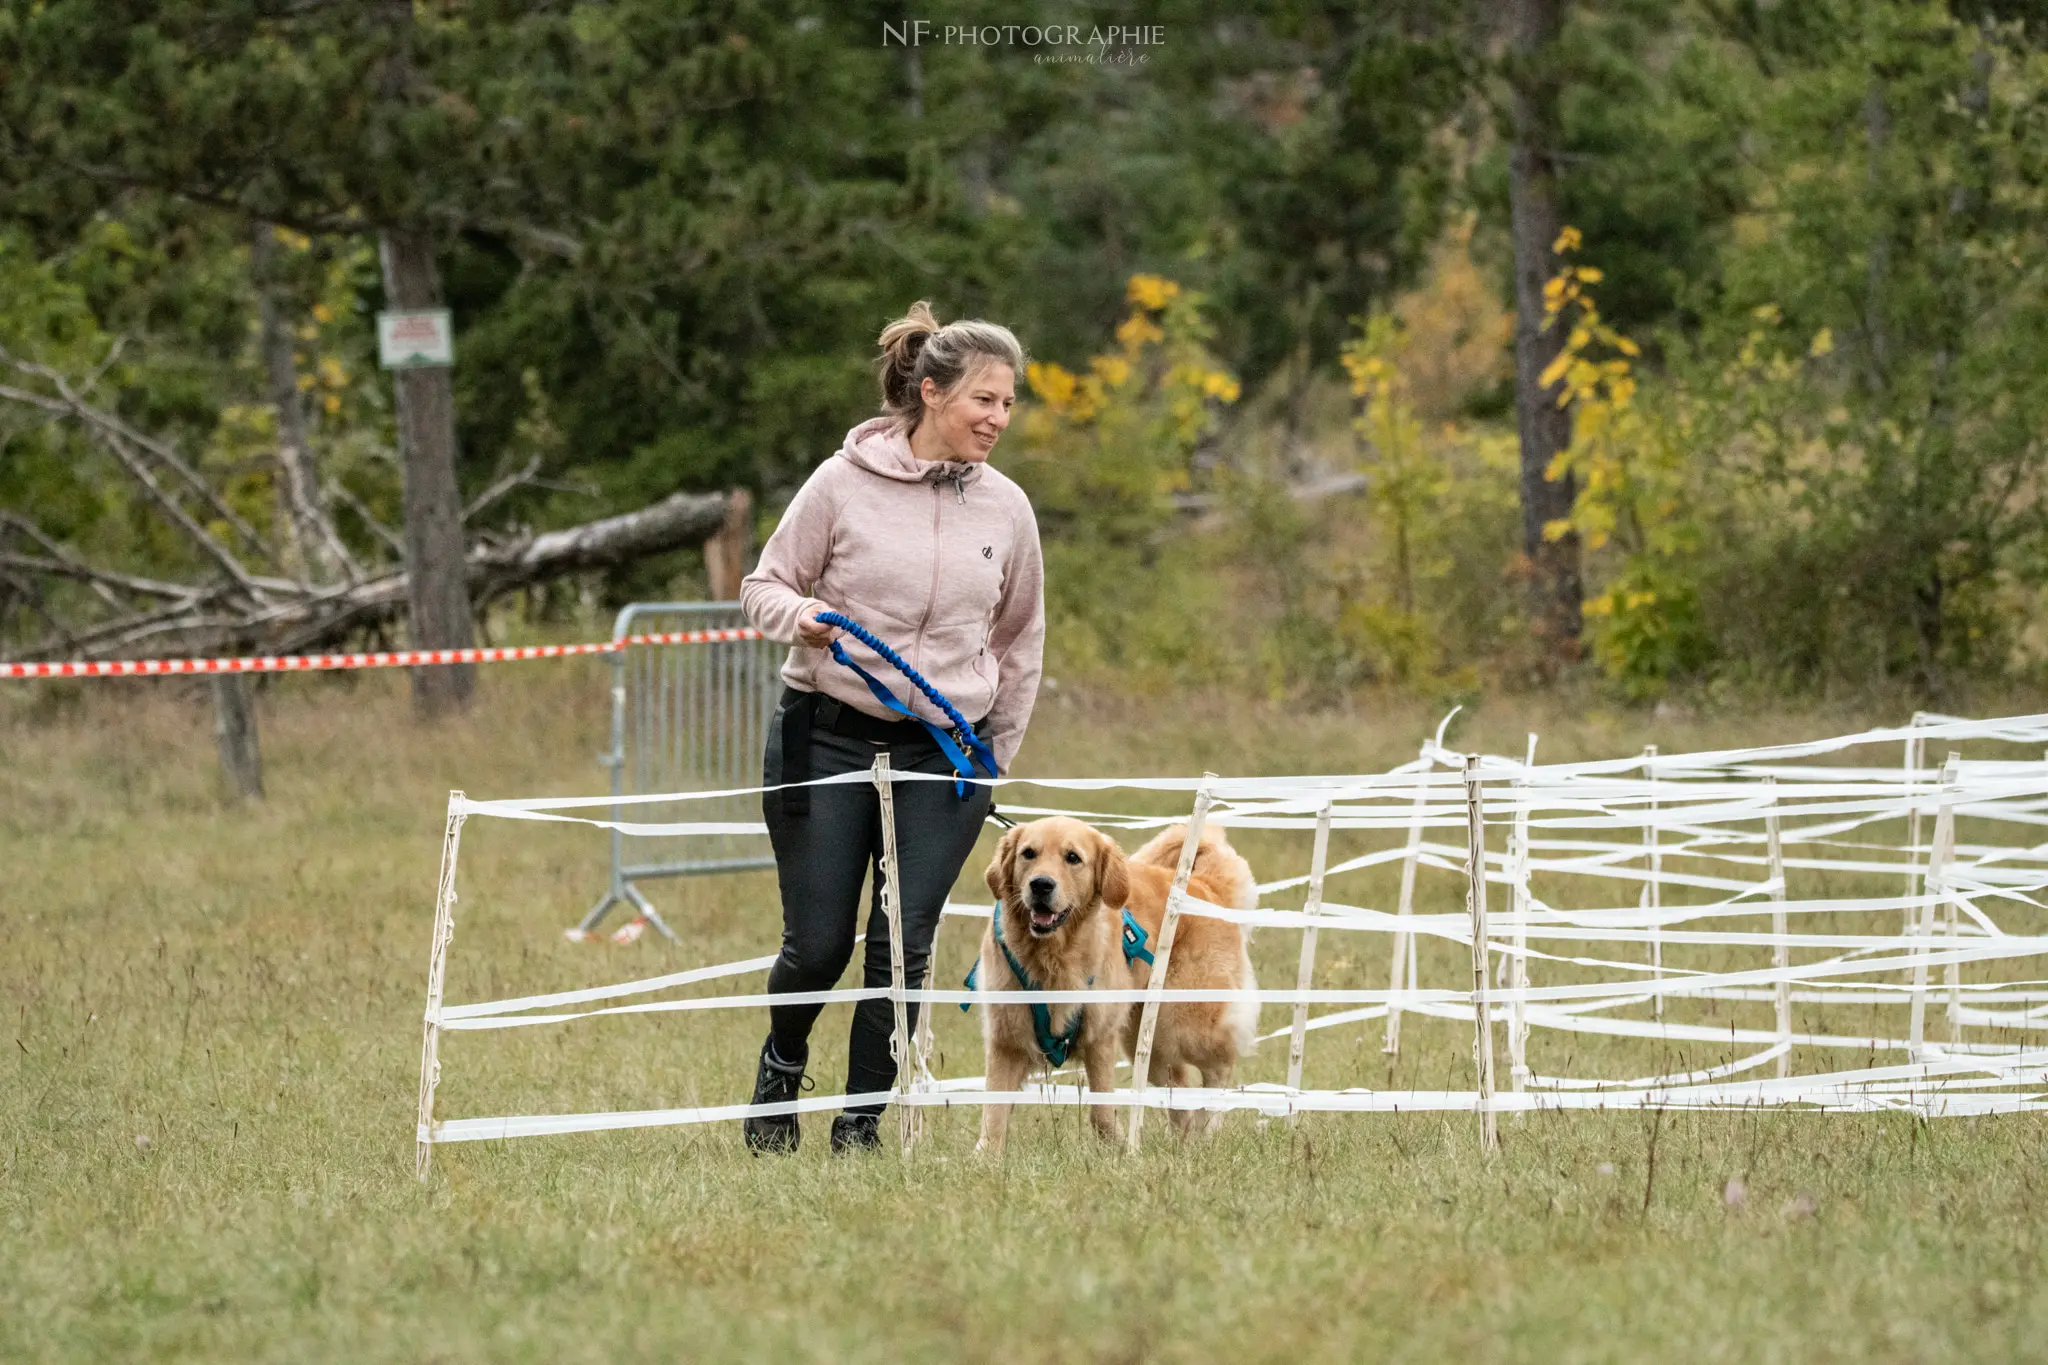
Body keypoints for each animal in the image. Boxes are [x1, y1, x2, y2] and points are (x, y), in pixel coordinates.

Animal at [970, 818, 1253, 1162]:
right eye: (1028, 853)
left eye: (1073, 858)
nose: (1040, 885)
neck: (1053, 957)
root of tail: (1208, 885)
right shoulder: (1006, 1039)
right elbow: (994, 1110)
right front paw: (986, 1159)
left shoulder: (1099, 1038)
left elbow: (1102, 1109)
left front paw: (1118, 1153)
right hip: (1148, 1042)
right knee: (1181, 1092)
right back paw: (1183, 1144)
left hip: (1185, 1024)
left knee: (1219, 1069)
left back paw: (1207, 1129)